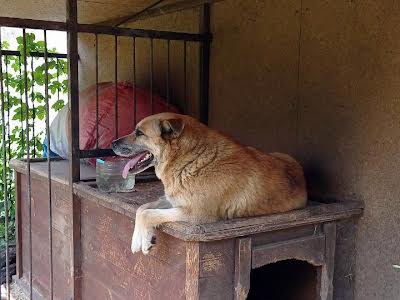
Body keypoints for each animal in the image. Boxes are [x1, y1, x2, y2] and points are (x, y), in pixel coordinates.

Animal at [111, 112, 306, 253]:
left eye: (139, 133)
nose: (112, 144)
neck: (189, 159)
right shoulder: (172, 201)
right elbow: (141, 209)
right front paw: (138, 239)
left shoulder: (197, 214)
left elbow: (148, 214)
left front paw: (143, 242)